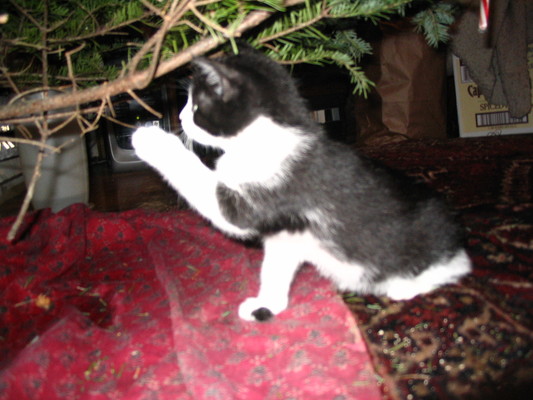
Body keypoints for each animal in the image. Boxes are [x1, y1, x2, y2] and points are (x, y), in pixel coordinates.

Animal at [132, 47, 470, 322]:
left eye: (196, 107)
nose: (178, 116)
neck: (266, 139)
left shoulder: (268, 195)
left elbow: (208, 190)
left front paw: (150, 138)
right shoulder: (286, 236)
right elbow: (274, 269)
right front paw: (266, 305)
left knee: (455, 269)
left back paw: (405, 286)